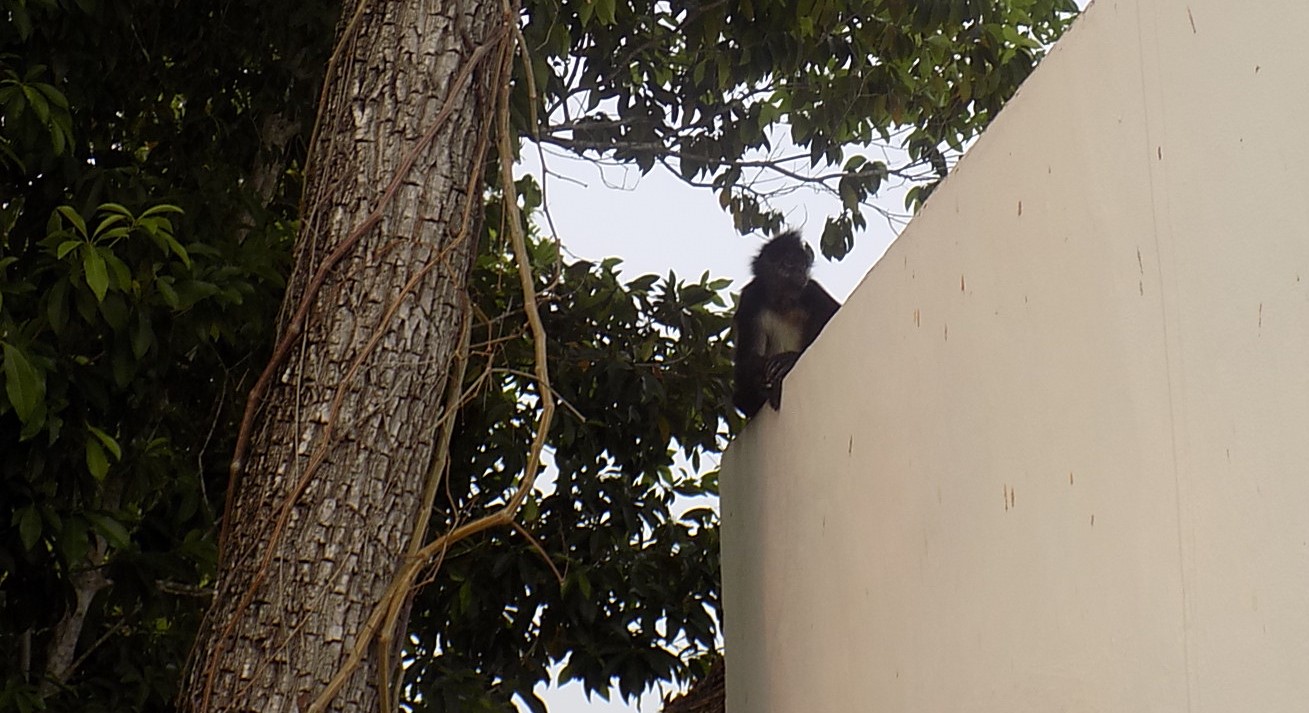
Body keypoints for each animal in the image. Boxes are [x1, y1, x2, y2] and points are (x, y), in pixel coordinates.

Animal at [738, 230, 837, 413]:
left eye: (802, 265)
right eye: (789, 263)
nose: (800, 271)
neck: (782, 303)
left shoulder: (811, 290)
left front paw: (789, 360)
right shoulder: (750, 298)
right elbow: (744, 362)